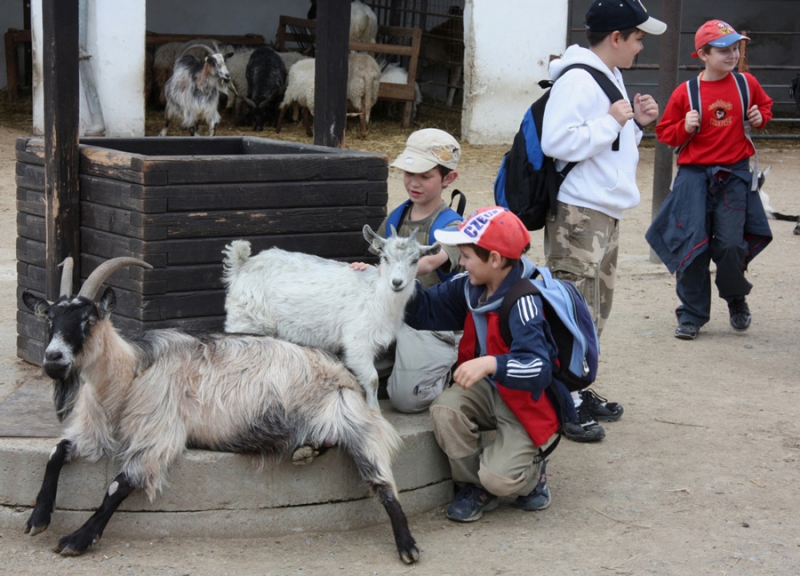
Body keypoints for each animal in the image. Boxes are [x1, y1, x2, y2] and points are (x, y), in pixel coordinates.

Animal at [20, 256, 418, 564]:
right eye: (50, 319)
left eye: (88, 320)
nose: (53, 359)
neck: (131, 373)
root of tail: (344, 372)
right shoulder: (94, 431)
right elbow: (56, 452)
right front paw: (38, 517)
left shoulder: (159, 434)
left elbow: (119, 484)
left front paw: (77, 539)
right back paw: (306, 449)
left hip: (354, 420)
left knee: (383, 482)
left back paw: (407, 546)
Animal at [222, 225, 440, 410]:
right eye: (385, 257)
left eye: (415, 260)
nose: (397, 282)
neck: (377, 294)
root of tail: (242, 265)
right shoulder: (357, 341)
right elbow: (372, 379)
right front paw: (374, 411)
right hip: (247, 322)